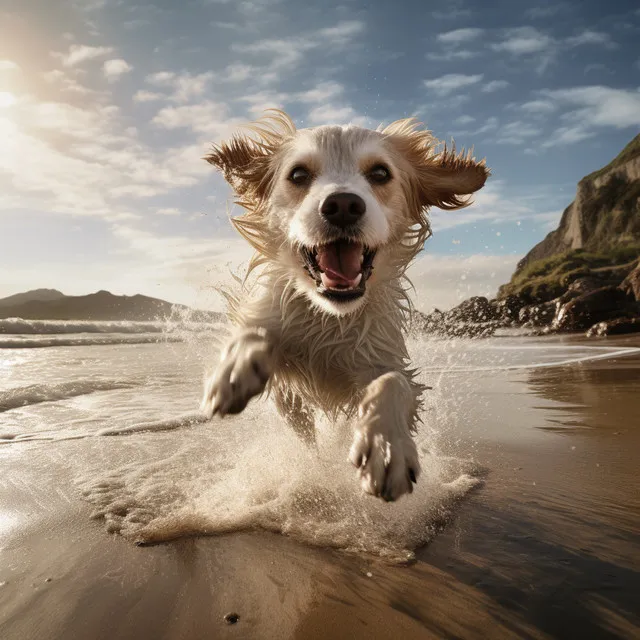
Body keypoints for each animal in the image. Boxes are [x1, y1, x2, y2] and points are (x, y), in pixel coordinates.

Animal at [202, 109, 488, 500]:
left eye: (380, 173)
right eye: (298, 175)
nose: (342, 205)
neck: (331, 316)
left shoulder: (383, 359)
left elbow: (393, 383)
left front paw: (386, 448)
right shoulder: (278, 329)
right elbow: (254, 330)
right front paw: (234, 369)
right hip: (292, 406)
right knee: (305, 434)